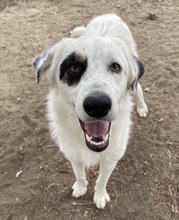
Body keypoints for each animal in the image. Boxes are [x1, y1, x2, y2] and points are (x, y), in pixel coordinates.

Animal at [32, 12, 148, 209]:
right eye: (73, 67)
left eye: (115, 66)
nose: (98, 105)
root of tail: (110, 14)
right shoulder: (72, 153)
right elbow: (79, 173)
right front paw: (81, 187)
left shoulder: (111, 158)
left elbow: (101, 180)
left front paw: (99, 196)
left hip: (135, 83)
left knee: (138, 89)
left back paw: (141, 107)